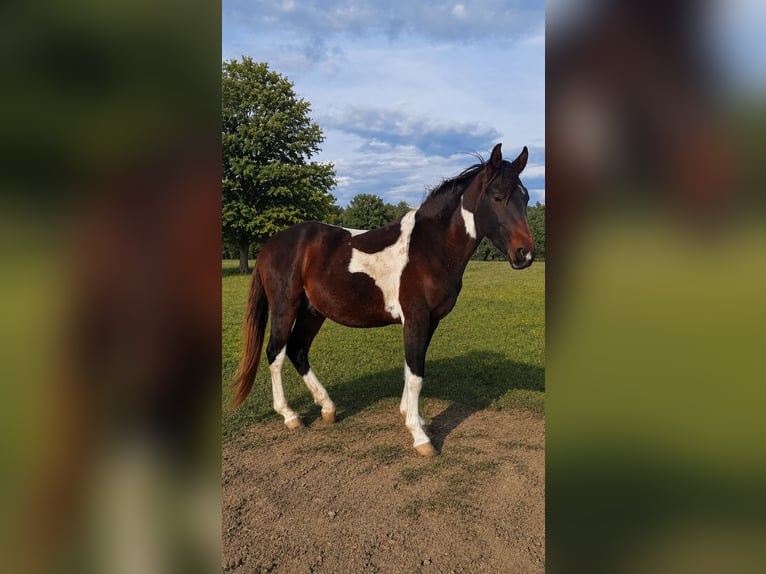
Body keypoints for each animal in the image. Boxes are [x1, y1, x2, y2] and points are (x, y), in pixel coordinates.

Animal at [231, 143, 535, 456]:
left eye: (525, 197)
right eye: (498, 197)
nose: (525, 253)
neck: (428, 248)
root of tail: (270, 245)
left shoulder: (430, 321)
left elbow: (411, 369)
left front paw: (413, 418)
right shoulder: (416, 318)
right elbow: (416, 374)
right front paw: (419, 437)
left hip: (312, 312)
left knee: (297, 350)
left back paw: (327, 408)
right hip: (285, 308)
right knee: (275, 354)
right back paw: (290, 415)